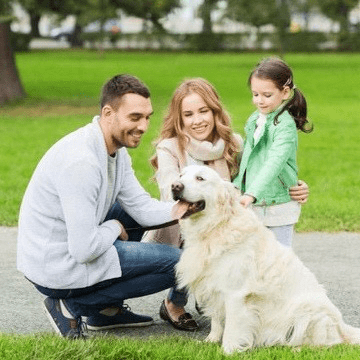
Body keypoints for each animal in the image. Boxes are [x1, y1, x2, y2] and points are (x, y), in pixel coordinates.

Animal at [173, 166, 358, 354]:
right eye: (181, 175)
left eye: (200, 178)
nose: (175, 186)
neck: (215, 227)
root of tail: (342, 326)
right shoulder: (213, 286)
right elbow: (216, 321)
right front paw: (210, 341)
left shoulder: (234, 293)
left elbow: (232, 327)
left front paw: (227, 351)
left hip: (307, 311)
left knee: (325, 343)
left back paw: (298, 349)